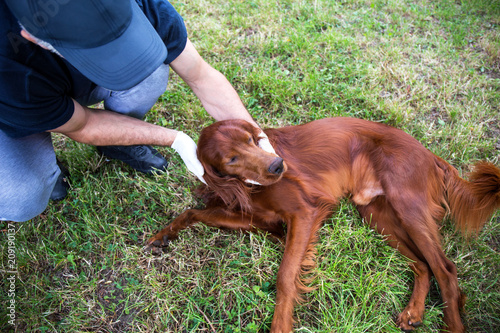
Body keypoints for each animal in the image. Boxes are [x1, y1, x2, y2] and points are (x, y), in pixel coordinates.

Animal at [146, 117, 500, 332]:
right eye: (231, 158)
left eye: (252, 140)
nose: (278, 166)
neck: (248, 185)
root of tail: (430, 155)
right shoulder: (254, 218)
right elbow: (192, 213)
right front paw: (162, 235)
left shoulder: (304, 213)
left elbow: (285, 276)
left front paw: (280, 325)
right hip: (377, 215)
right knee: (423, 264)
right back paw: (413, 312)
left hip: (407, 207)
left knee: (445, 268)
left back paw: (451, 324)